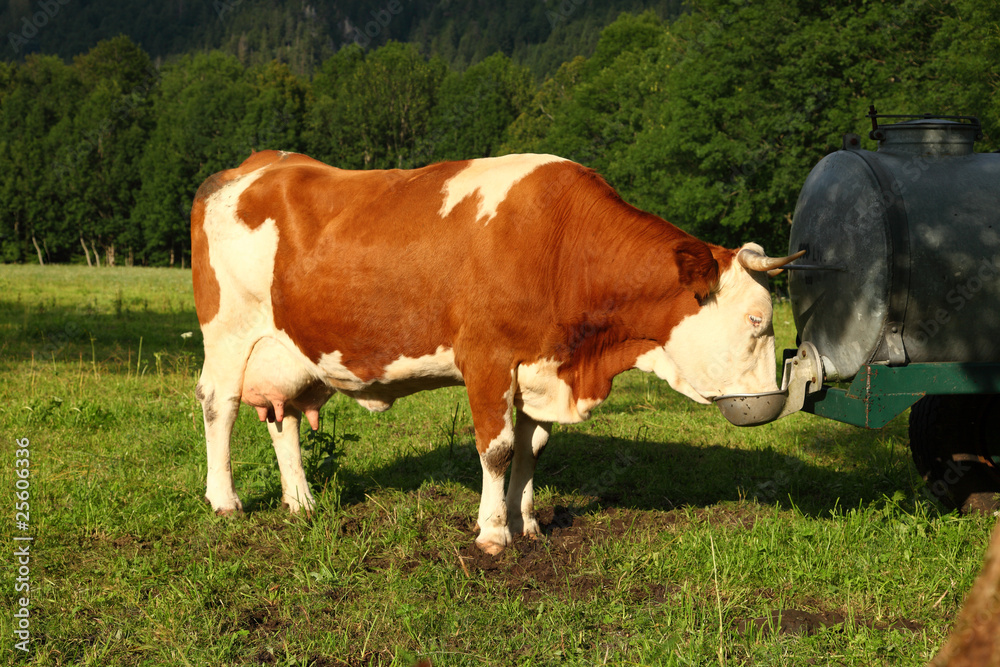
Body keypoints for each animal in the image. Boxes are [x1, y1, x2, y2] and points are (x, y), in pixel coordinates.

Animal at [189, 150, 804, 552]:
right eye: (757, 320)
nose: (771, 401)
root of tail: (252, 165)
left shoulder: (540, 367)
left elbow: (534, 448)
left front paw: (525, 522)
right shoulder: (486, 359)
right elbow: (498, 448)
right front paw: (492, 532)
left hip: (287, 350)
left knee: (283, 416)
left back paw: (302, 501)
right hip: (228, 333)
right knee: (219, 404)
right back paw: (224, 499)